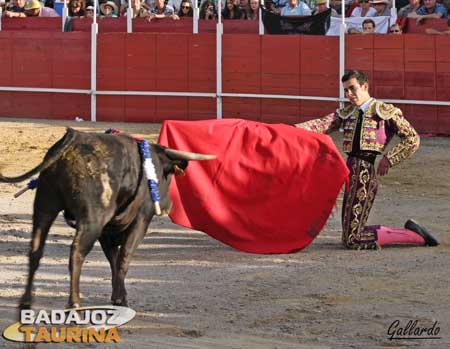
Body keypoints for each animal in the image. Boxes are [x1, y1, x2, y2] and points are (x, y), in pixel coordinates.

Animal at [0, 128, 214, 308]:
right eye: (167, 174)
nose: (168, 206)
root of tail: (74, 138)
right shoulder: (140, 221)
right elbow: (124, 257)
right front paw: (120, 299)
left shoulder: (106, 230)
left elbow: (113, 259)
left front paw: (118, 295)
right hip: (92, 219)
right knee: (77, 252)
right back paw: (74, 302)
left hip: (44, 206)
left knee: (35, 249)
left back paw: (26, 301)